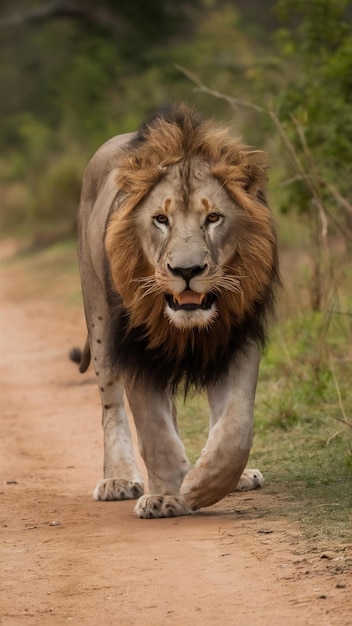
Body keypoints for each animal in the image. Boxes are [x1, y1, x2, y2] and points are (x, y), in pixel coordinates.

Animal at [72, 103, 280, 516]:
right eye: (161, 219)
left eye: (213, 218)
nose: (186, 270)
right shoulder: (134, 345)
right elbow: (153, 428)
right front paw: (168, 495)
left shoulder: (239, 334)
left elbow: (236, 426)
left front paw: (202, 484)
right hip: (100, 322)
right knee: (111, 403)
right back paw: (118, 479)